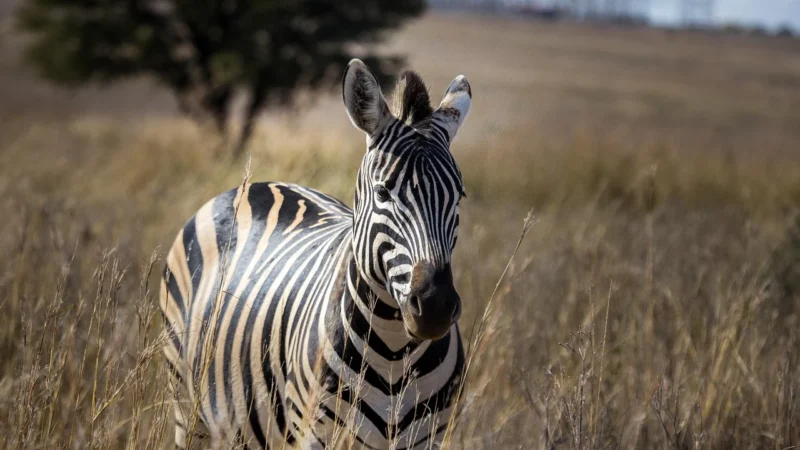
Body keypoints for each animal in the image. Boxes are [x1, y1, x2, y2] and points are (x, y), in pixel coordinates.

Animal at [160, 59, 472, 449]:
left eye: (459, 196)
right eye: (383, 192)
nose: (433, 308)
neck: (395, 352)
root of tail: (261, 184)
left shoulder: (428, 438)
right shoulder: (316, 433)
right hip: (187, 403)